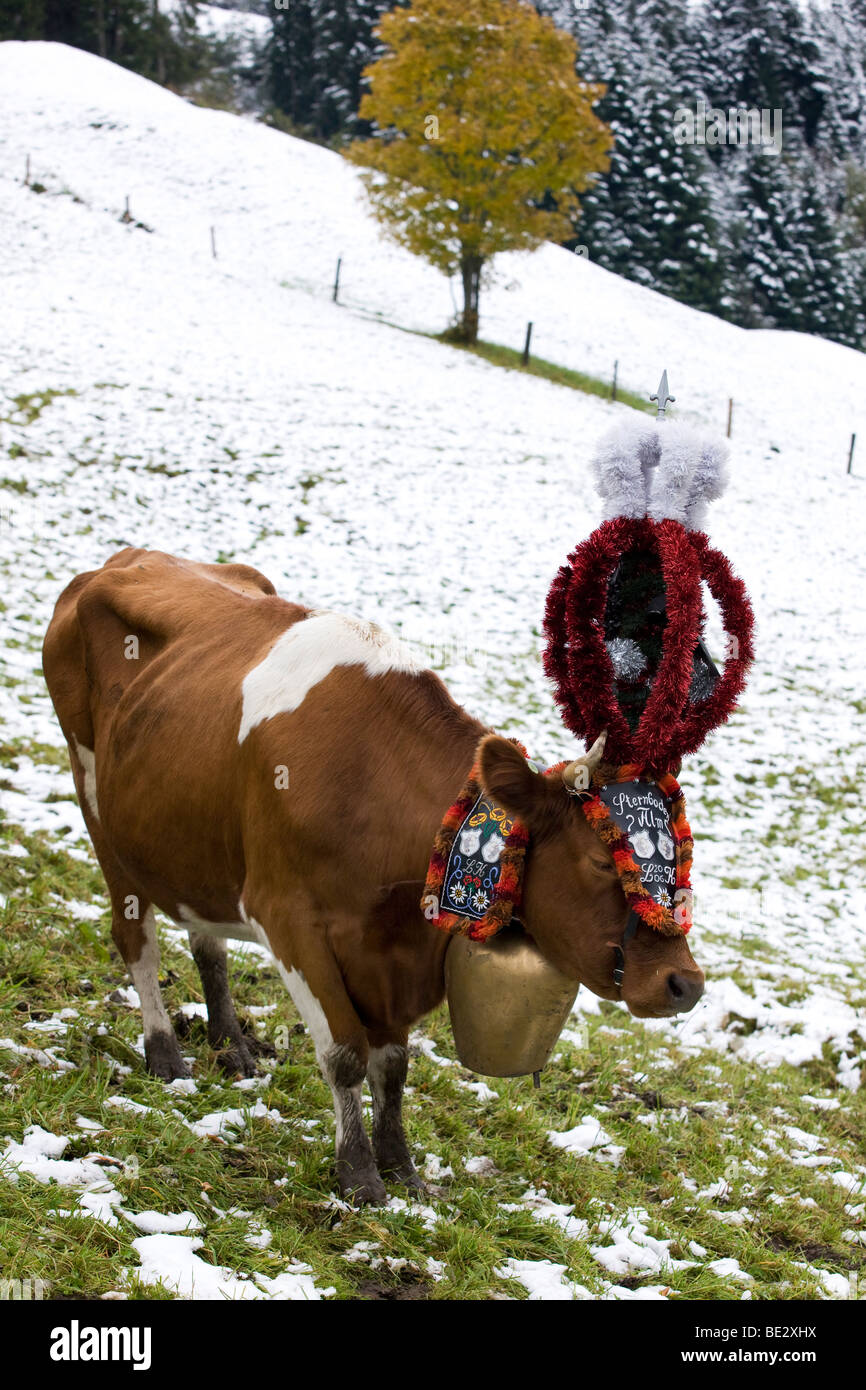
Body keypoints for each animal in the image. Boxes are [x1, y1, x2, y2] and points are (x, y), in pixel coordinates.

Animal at [42, 547, 706, 1200]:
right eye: (598, 860)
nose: (684, 984)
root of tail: (118, 562)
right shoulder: (288, 921)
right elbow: (345, 1052)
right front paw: (358, 1175)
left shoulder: (393, 953)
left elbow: (394, 1064)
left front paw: (401, 1167)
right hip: (99, 805)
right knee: (137, 940)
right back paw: (164, 1054)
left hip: (190, 836)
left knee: (207, 939)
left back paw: (230, 1044)